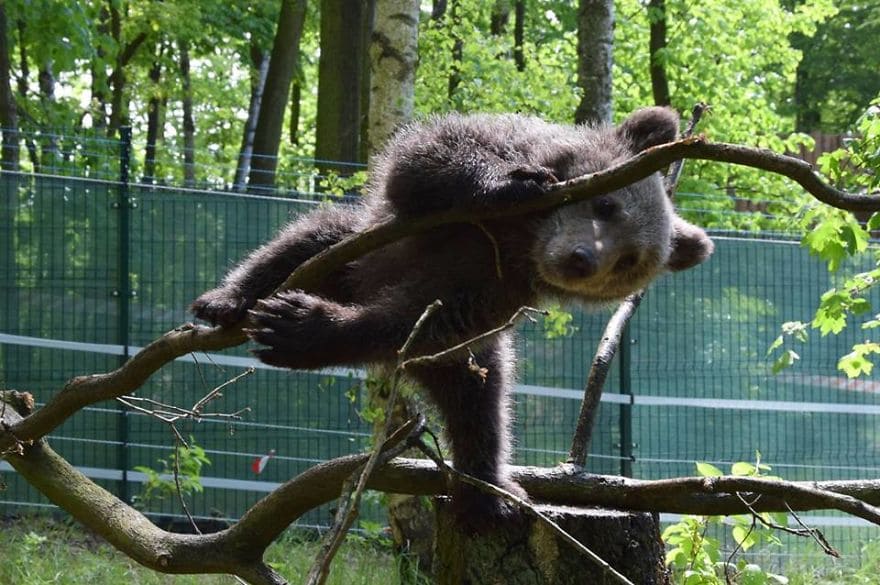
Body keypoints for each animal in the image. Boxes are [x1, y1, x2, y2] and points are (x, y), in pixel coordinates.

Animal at [192, 107, 716, 524]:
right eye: (606, 204)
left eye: (628, 260)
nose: (582, 259)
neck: (519, 240)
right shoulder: (457, 210)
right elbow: (430, 155)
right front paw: (511, 183)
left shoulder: (489, 291)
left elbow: (417, 325)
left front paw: (302, 328)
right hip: (355, 250)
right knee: (308, 239)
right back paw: (229, 299)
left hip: (472, 359)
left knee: (482, 404)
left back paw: (489, 492)